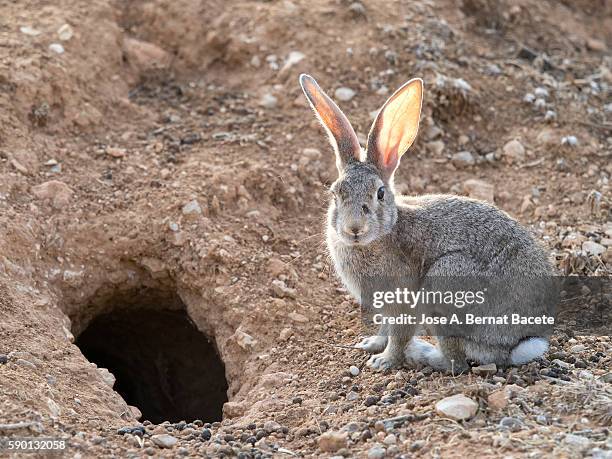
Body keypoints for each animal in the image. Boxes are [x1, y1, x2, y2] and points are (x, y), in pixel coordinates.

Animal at [300, 73, 556, 374]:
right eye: (334, 194)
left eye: (380, 193)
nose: (354, 229)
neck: (385, 232)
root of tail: (517, 344)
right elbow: (385, 329)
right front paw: (371, 345)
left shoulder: (403, 297)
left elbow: (399, 334)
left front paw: (384, 361)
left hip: (447, 283)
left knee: (457, 363)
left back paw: (422, 354)